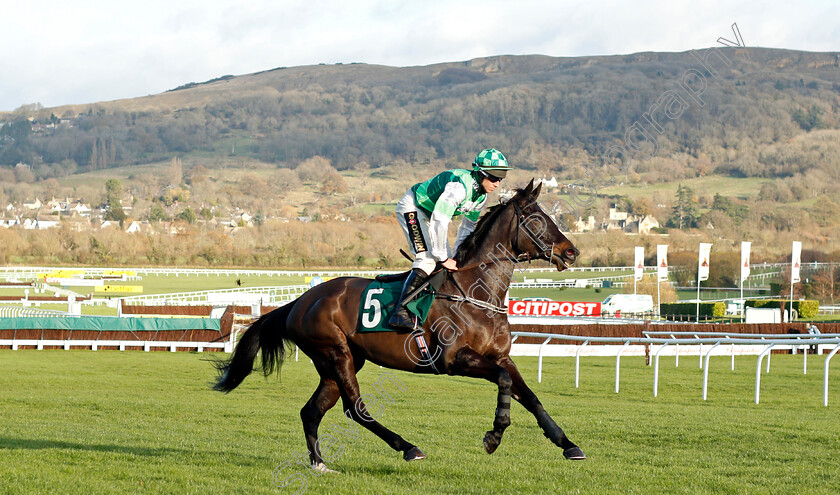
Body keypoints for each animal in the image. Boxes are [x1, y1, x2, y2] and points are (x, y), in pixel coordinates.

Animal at [213, 179, 588, 472]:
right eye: (537, 220)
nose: (572, 253)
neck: (473, 292)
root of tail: (299, 302)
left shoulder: (502, 357)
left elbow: (530, 396)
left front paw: (568, 444)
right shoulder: (455, 360)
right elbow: (505, 382)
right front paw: (494, 435)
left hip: (340, 362)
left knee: (312, 411)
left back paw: (319, 463)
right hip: (335, 353)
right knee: (355, 409)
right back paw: (408, 448)